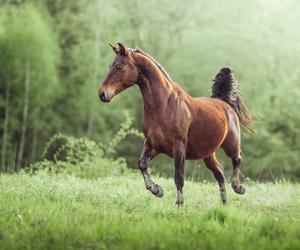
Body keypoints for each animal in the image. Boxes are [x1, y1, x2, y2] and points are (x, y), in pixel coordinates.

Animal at [98, 42, 253, 204]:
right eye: (110, 65)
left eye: (120, 67)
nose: (102, 94)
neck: (164, 105)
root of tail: (224, 103)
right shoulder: (152, 144)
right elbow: (142, 164)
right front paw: (157, 190)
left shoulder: (179, 146)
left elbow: (179, 177)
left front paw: (179, 205)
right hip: (208, 154)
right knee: (220, 173)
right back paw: (224, 204)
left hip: (231, 144)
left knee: (237, 160)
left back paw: (238, 187)